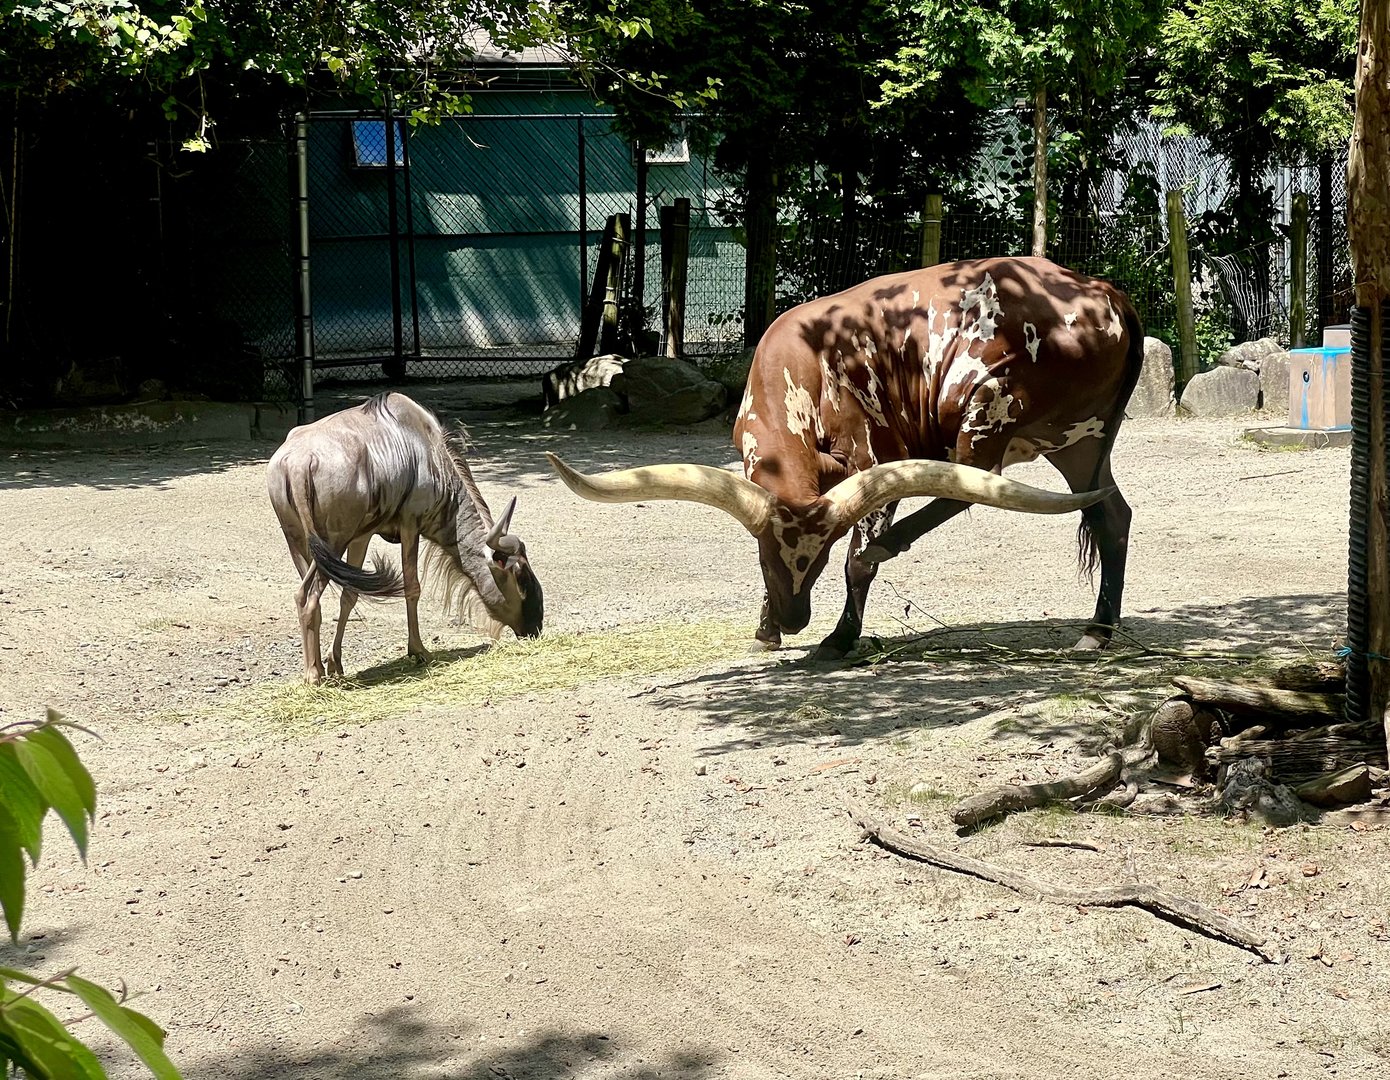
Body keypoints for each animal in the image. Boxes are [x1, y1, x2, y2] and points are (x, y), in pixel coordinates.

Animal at [267, 392, 543, 684]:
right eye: (521, 576)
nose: (535, 626)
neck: (432, 454)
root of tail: (299, 462)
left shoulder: (361, 537)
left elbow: (349, 596)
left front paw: (336, 663)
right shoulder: (410, 525)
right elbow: (413, 588)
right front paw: (419, 650)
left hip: (300, 544)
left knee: (306, 597)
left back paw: (317, 668)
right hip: (332, 545)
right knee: (307, 597)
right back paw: (312, 675)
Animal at [547, 257, 1141, 659]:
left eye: (820, 559)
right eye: (764, 558)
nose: (793, 620)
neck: (794, 369)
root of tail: (1108, 294)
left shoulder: (878, 456)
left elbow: (859, 560)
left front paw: (838, 636)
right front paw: (766, 628)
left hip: (989, 410)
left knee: (977, 478)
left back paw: (892, 544)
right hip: (1079, 439)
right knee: (1108, 512)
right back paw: (1098, 629)